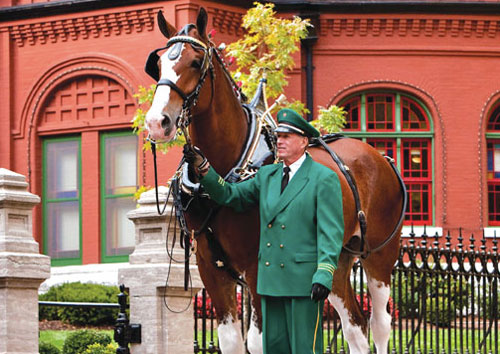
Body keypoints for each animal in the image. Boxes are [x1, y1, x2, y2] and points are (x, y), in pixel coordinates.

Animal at [145, 8, 406, 354]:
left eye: (195, 62)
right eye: (158, 64)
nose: (156, 122)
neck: (233, 166)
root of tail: (381, 157)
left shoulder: (259, 268)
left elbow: (259, 341)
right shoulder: (210, 268)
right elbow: (231, 341)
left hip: (380, 256)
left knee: (380, 325)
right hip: (335, 261)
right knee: (356, 328)